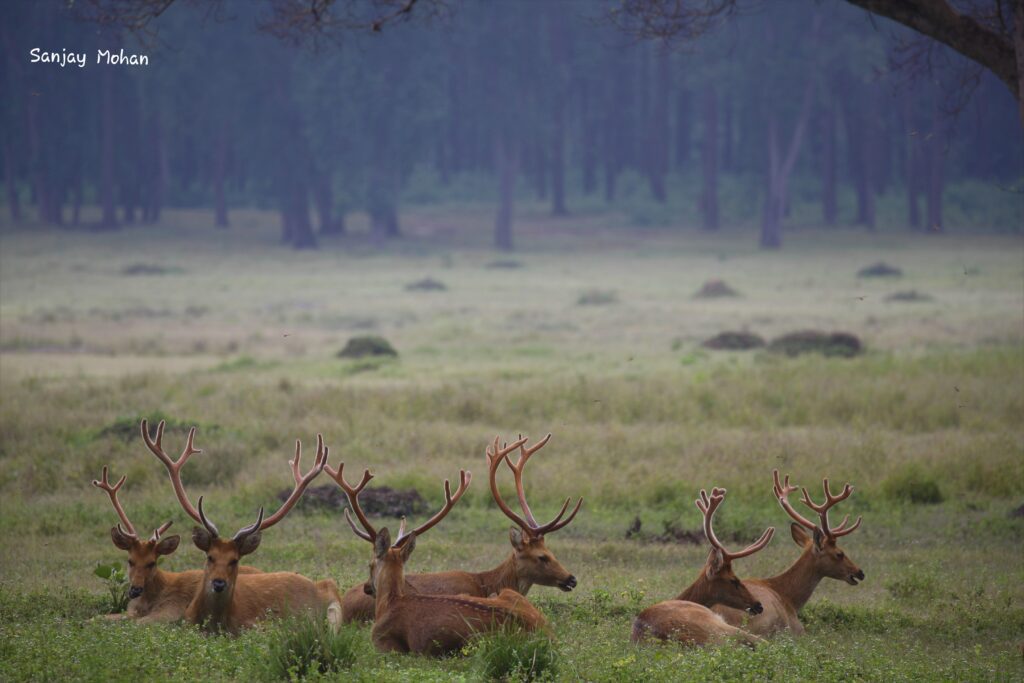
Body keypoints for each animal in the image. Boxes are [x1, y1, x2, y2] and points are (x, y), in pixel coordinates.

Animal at [333, 462, 544, 655]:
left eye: (370, 564)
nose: (367, 587)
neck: (389, 602)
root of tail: (543, 631)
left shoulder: (384, 642)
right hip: (508, 594)